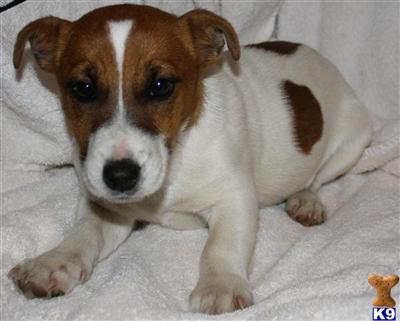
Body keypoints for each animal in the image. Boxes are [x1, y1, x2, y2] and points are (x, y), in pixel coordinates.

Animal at [8, 3, 372, 314]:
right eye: (83, 88)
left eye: (160, 85)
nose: (121, 177)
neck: (175, 161)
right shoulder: (104, 205)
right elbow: (83, 233)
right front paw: (53, 262)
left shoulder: (235, 197)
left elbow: (221, 245)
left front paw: (219, 284)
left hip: (351, 143)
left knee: (318, 177)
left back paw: (306, 200)